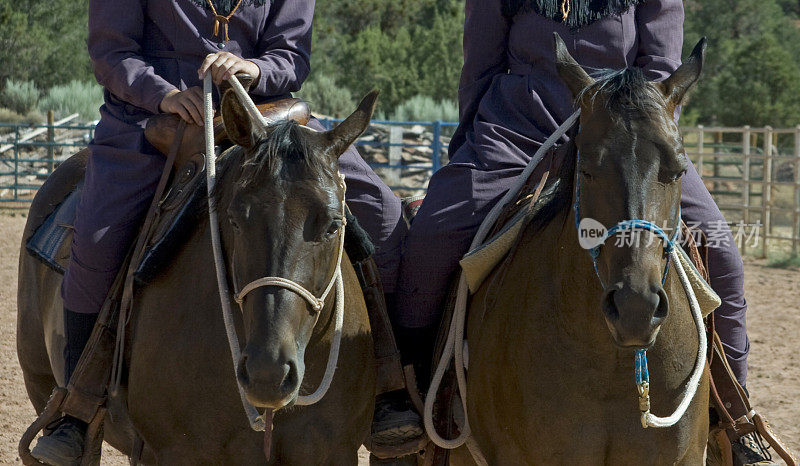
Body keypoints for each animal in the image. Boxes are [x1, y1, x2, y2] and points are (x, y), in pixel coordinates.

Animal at [17, 90, 380, 462]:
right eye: (234, 218)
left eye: (333, 224)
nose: (267, 372)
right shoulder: (176, 452)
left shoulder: (334, 451)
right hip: (40, 383)